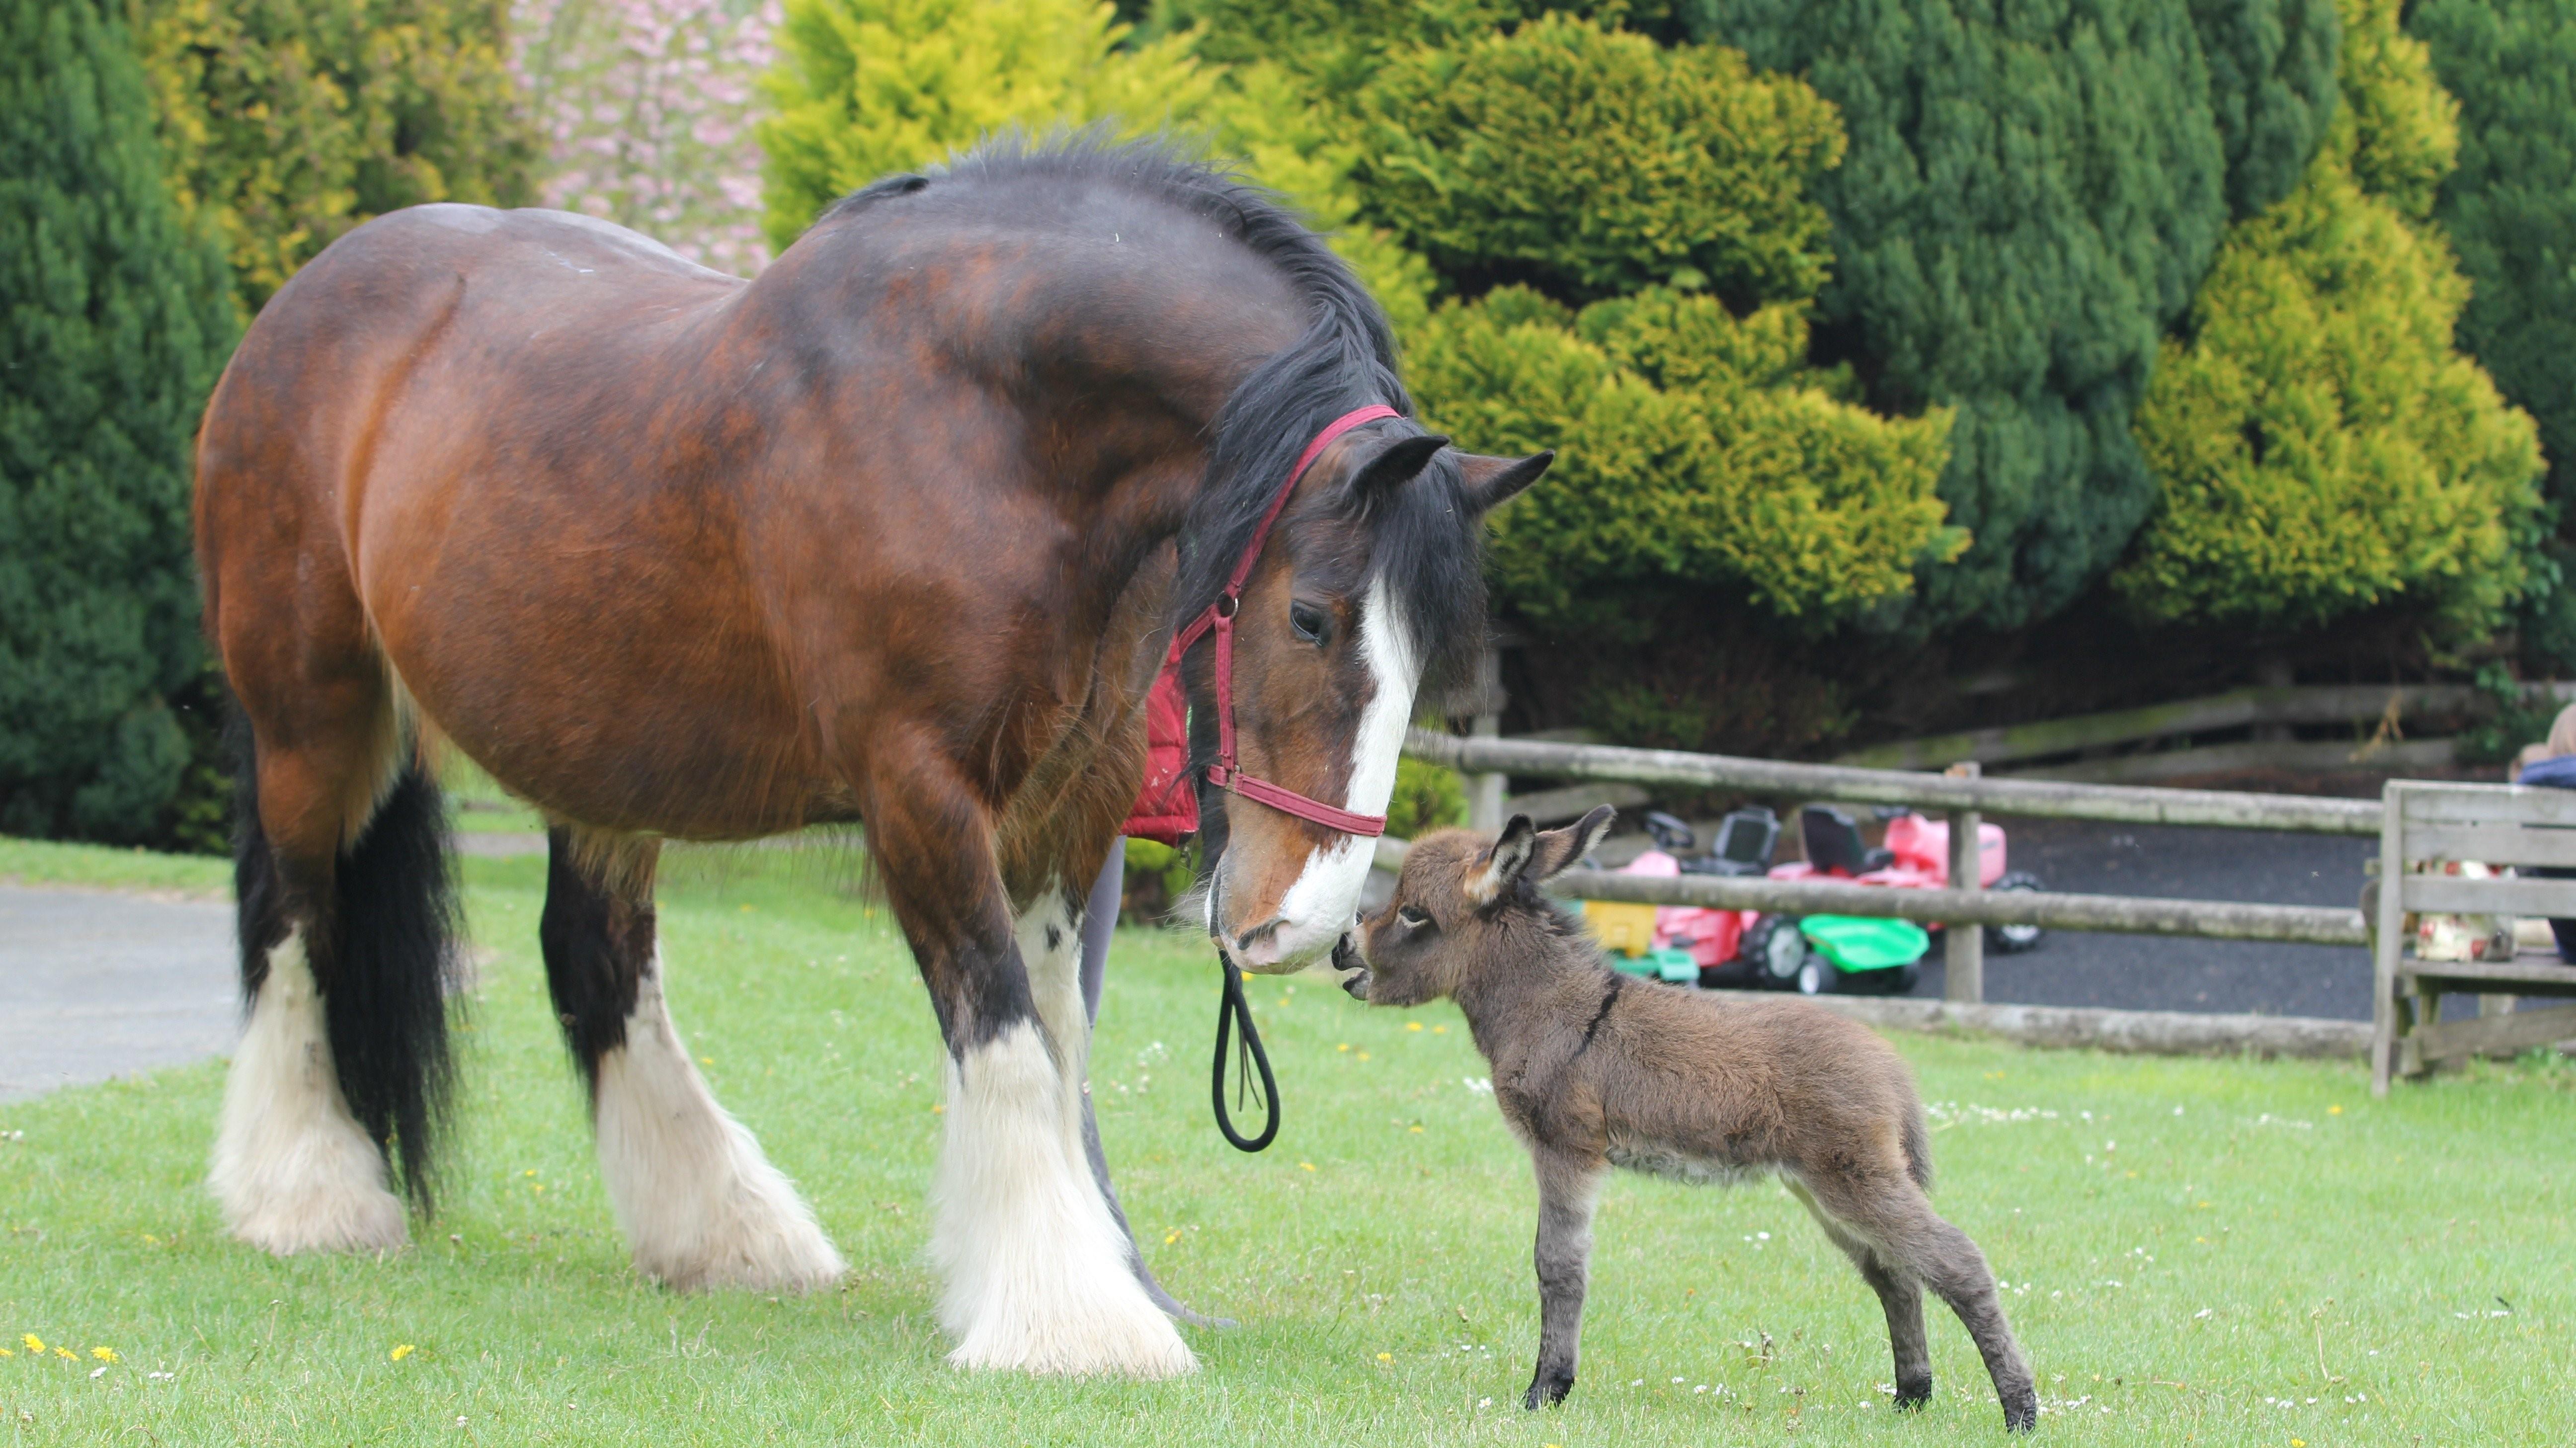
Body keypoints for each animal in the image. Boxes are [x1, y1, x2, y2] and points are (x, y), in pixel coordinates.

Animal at [195, 138, 1545, 1370]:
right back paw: (307, 1195)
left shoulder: (1069, 806)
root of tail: (306, 300)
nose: (1299, 922)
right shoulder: (919, 798)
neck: (983, 424)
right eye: (1311, 616)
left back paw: (726, 1232)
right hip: (313, 719)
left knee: (594, 958)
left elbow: (1058, 1044)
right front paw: (1073, 1321)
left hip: (598, 758)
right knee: (292, 919)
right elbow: (1004, 1037)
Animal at [1350, 804, 2029, 1422]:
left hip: (1855, 1180)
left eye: (1414, 913)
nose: (1341, 948)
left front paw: (1546, 1391)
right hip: (1825, 1188)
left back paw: (2020, 1409)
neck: (1551, 1009)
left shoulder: (1565, 1148)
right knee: (1896, 1275)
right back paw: (1912, 1396)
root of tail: (1890, 1065)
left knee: (1957, 1262)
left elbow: (1558, 1265)